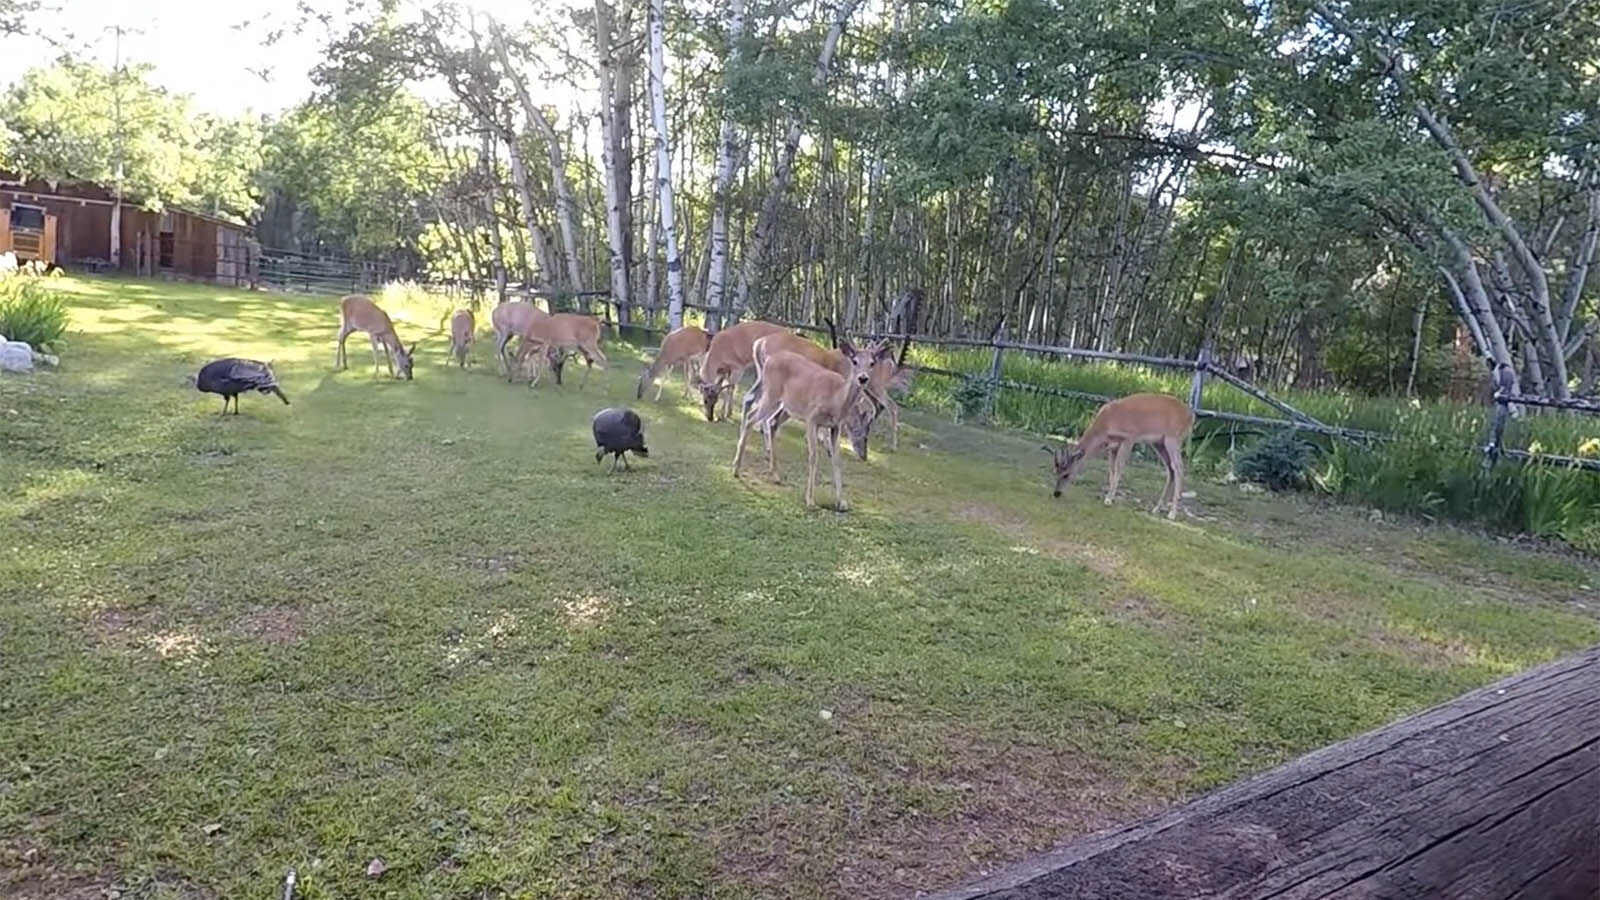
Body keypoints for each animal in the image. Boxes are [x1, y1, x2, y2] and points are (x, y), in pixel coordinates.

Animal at [732, 336, 893, 511]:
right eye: (854, 361)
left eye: (872, 363)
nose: (863, 378)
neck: (836, 399)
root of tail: (768, 359)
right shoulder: (812, 418)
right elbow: (813, 456)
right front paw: (810, 500)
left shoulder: (835, 426)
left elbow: (837, 460)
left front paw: (841, 501)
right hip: (771, 394)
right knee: (751, 417)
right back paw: (736, 469)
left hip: (787, 407)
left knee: (771, 422)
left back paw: (775, 475)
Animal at [1042, 392, 1195, 520]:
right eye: (1055, 472)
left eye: (1066, 474)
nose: (1056, 493)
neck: (1106, 424)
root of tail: (1190, 416)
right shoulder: (1113, 446)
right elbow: (1112, 469)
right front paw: (1109, 496)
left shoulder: (1130, 437)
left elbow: (1119, 467)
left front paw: (1109, 499)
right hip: (1159, 443)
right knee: (1170, 469)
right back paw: (1156, 509)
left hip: (1173, 438)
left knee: (1179, 467)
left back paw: (1172, 513)